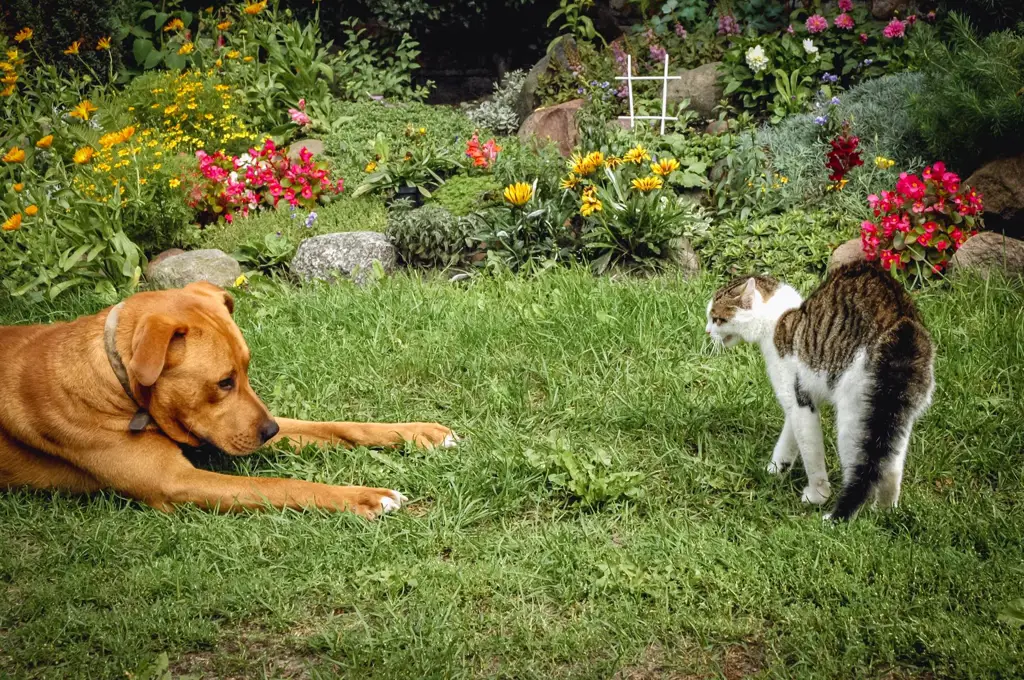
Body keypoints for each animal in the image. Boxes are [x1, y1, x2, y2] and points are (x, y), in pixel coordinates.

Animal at [0, 280, 456, 516]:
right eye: (223, 382)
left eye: (247, 368)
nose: (269, 430)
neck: (117, 385)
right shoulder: (177, 482)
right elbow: (279, 485)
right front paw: (360, 496)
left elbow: (338, 426)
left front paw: (419, 433)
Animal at [708, 261, 933, 520]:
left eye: (716, 319)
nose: (706, 331)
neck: (778, 319)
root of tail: (903, 324)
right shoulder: (797, 400)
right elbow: (790, 436)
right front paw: (776, 468)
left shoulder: (797, 397)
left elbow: (811, 450)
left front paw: (817, 495)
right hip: (898, 417)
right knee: (892, 466)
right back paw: (885, 513)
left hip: (854, 417)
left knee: (861, 474)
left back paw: (838, 518)